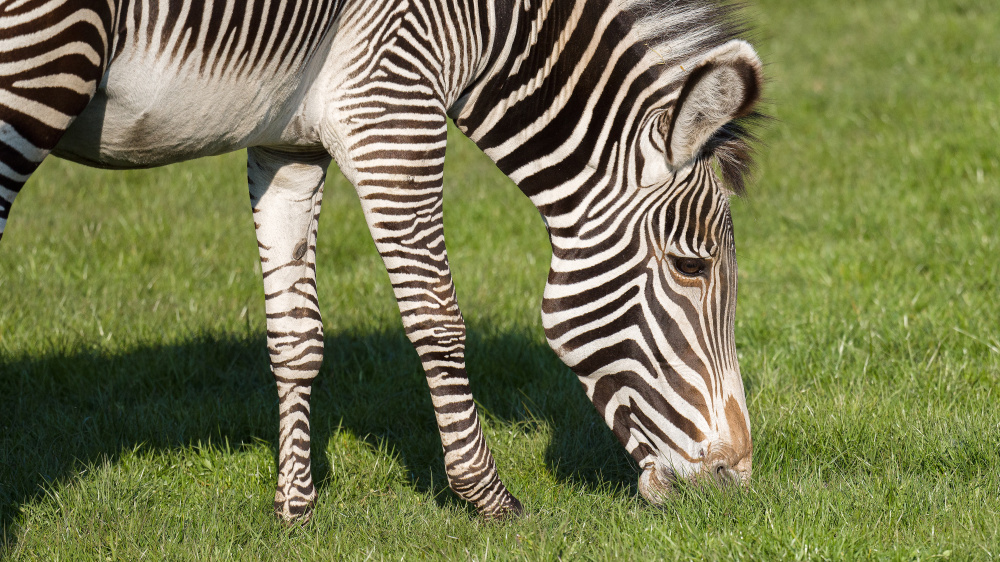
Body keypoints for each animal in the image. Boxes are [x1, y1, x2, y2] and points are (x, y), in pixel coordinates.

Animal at [1, 0, 764, 520]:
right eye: (691, 267)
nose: (734, 482)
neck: (492, 22)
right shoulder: (394, 104)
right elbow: (437, 318)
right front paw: (488, 498)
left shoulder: (287, 138)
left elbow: (295, 336)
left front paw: (296, 507)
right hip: (38, 64)